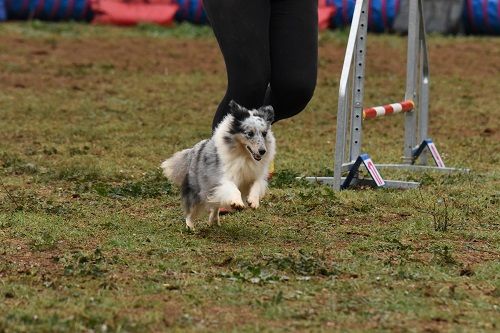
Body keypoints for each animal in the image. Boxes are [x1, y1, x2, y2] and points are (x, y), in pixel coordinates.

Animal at [161, 100, 276, 230]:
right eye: (250, 133)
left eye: (264, 133)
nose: (262, 151)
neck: (244, 156)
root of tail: (195, 149)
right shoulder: (223, 177)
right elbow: (233, 187)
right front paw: (237, 203)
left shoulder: (256, 175)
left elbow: (256, 185)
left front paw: (253, 202)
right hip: (198, 190)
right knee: (191, 209)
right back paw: (190, 226)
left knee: (215, 204)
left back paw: (214, 220)